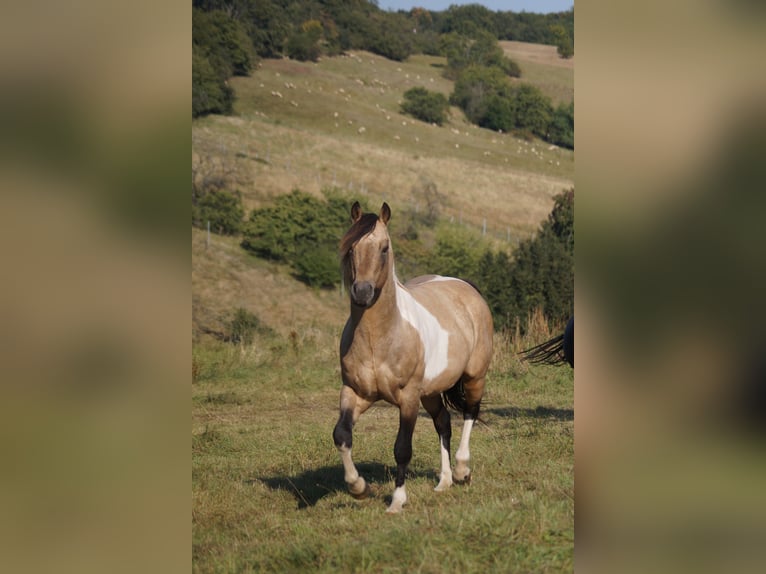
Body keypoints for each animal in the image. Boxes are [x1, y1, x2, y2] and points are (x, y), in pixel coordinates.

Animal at [332, 201, 496, 512]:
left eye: (384, 248)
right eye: (351, 247)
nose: (363, 292)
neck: (380, 338)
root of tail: (466, 287)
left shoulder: (407, 398)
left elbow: (402, 448)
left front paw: (397, 500)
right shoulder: (355, 392)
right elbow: (342, 436)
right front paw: (359, 487)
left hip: (474, 377)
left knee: (470, 412)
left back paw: (462, 470)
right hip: (430, 392)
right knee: (443, 423)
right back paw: (444, 481)